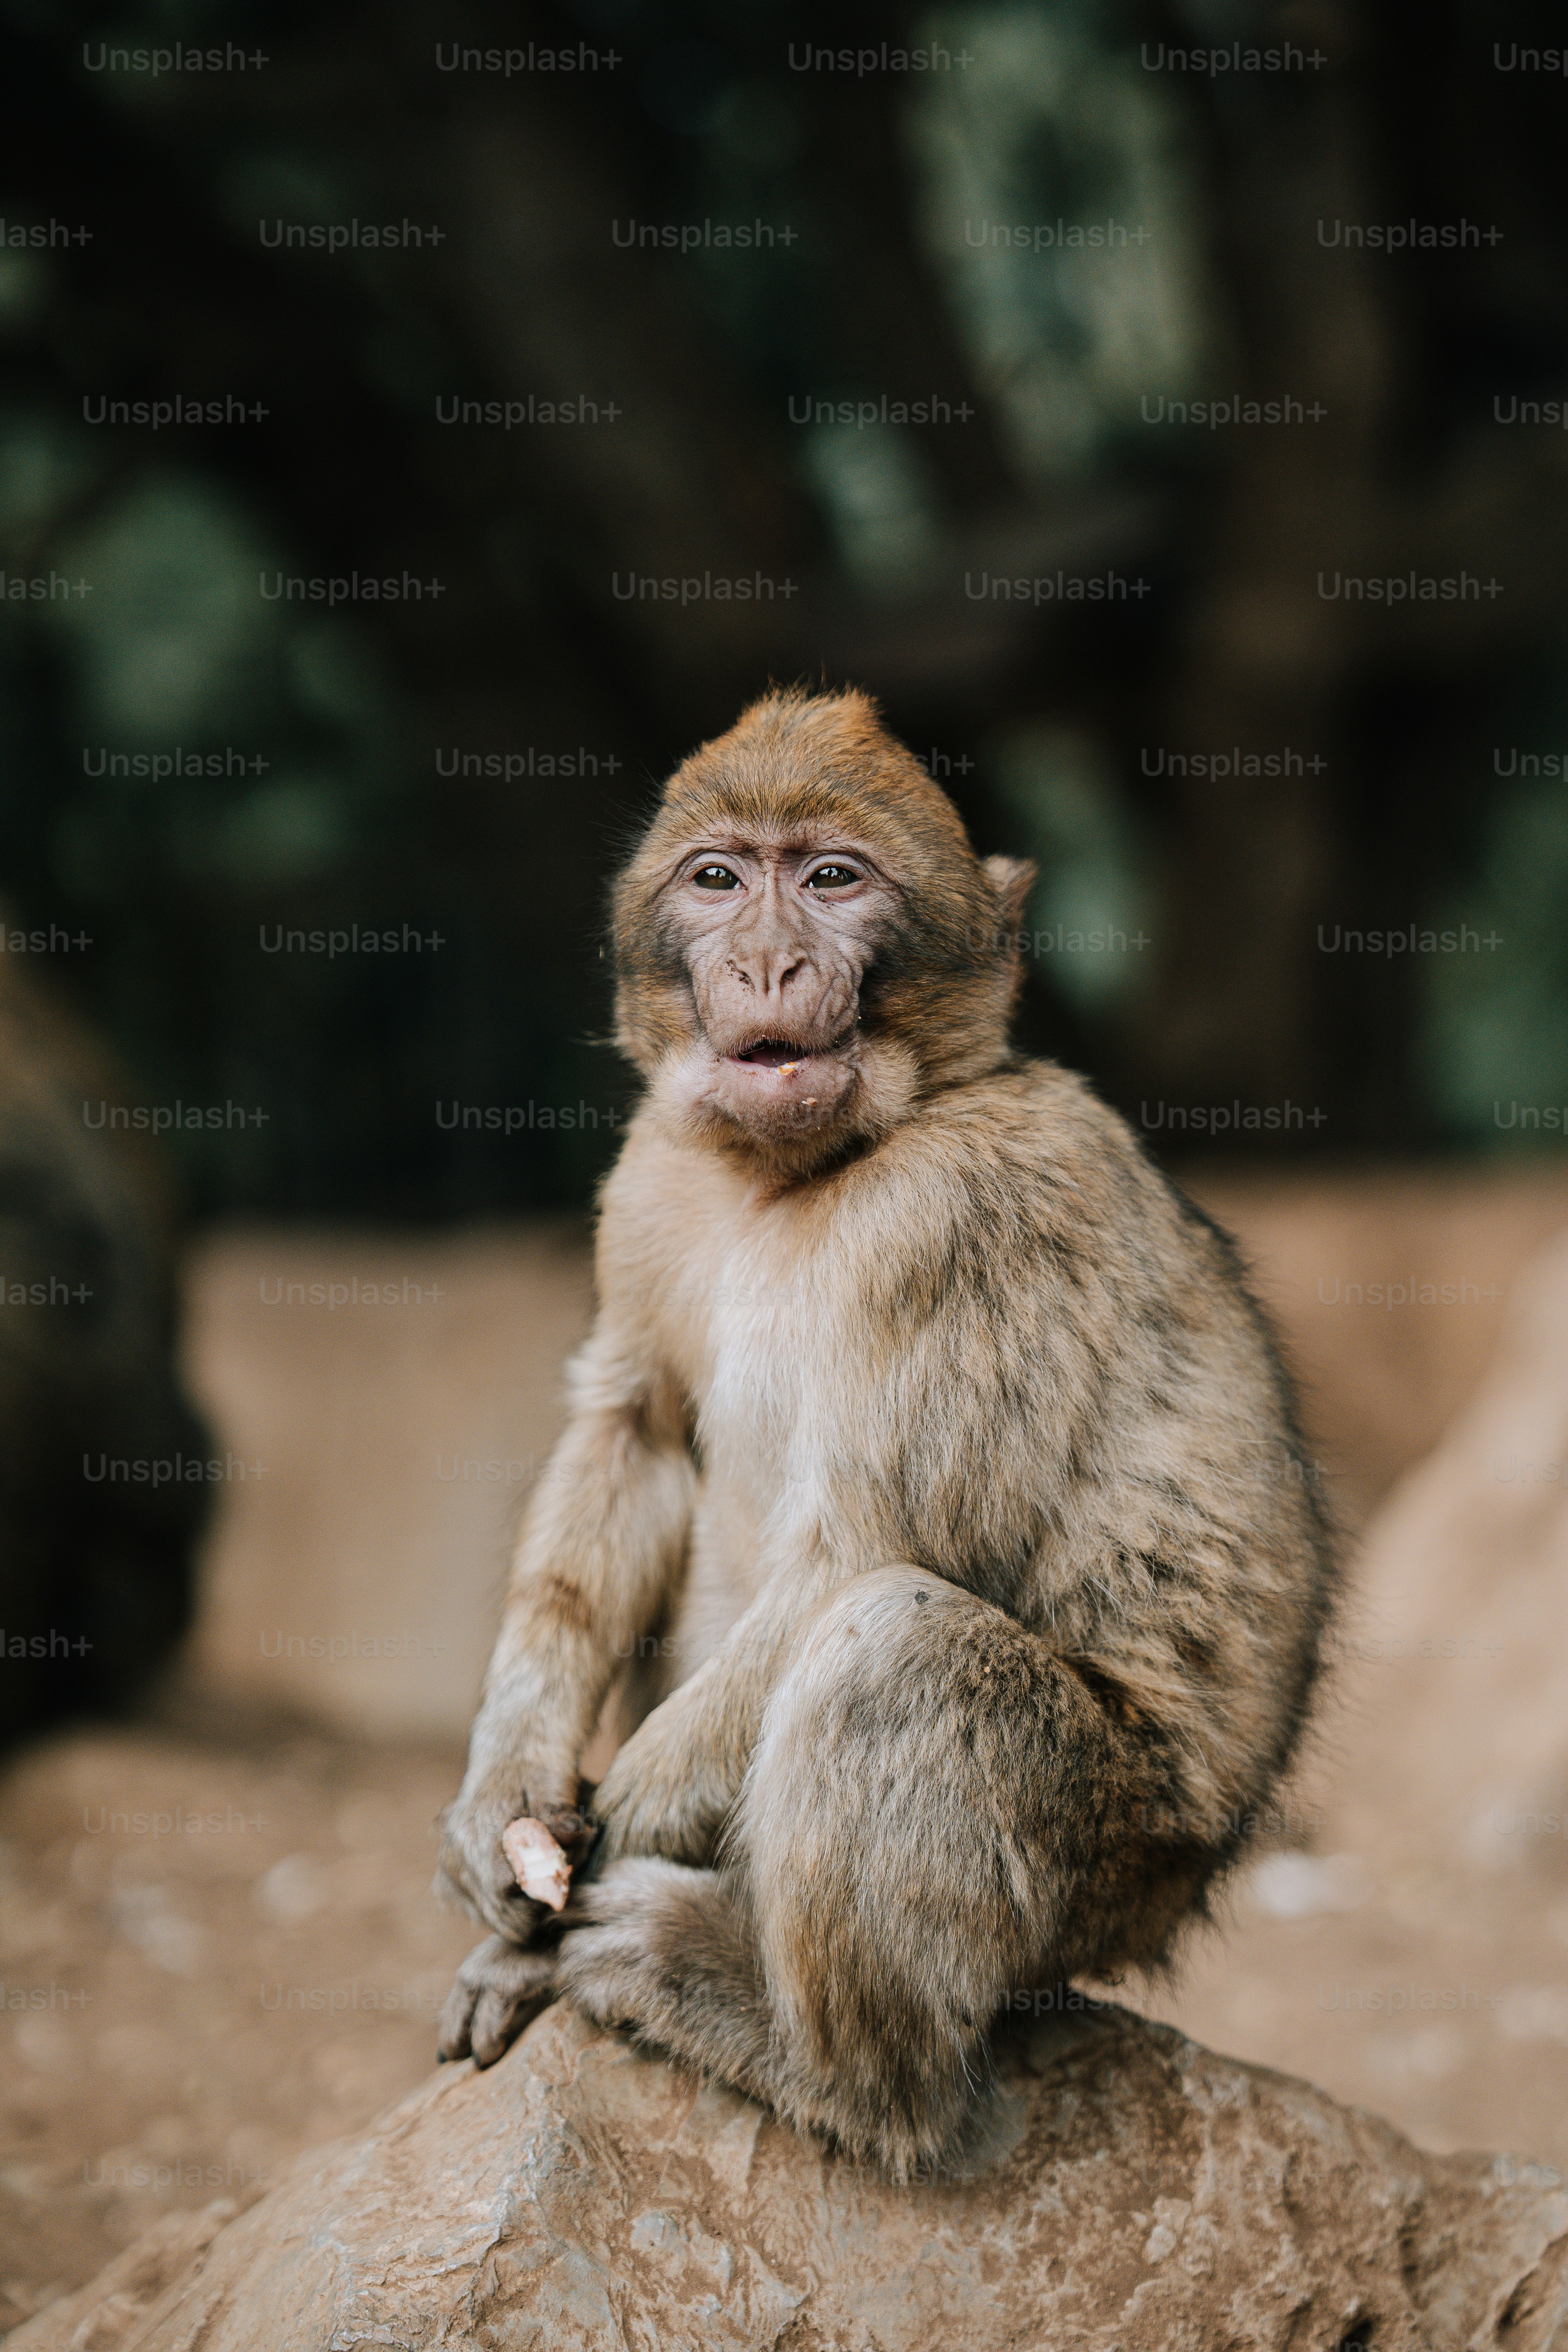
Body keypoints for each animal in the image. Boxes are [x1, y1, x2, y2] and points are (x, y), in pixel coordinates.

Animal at [436, 685, 1337, 2178]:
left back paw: (801, 2050)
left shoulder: (964, 1218)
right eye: (720, 878)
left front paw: (579, 1872)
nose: (767, 963)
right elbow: (634, 1434)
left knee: (893, 1645)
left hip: (1099, 1862)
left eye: (833, 880)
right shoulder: (653, 1173)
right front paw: (500, 1797)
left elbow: (850, 1557)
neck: (798, 1177)